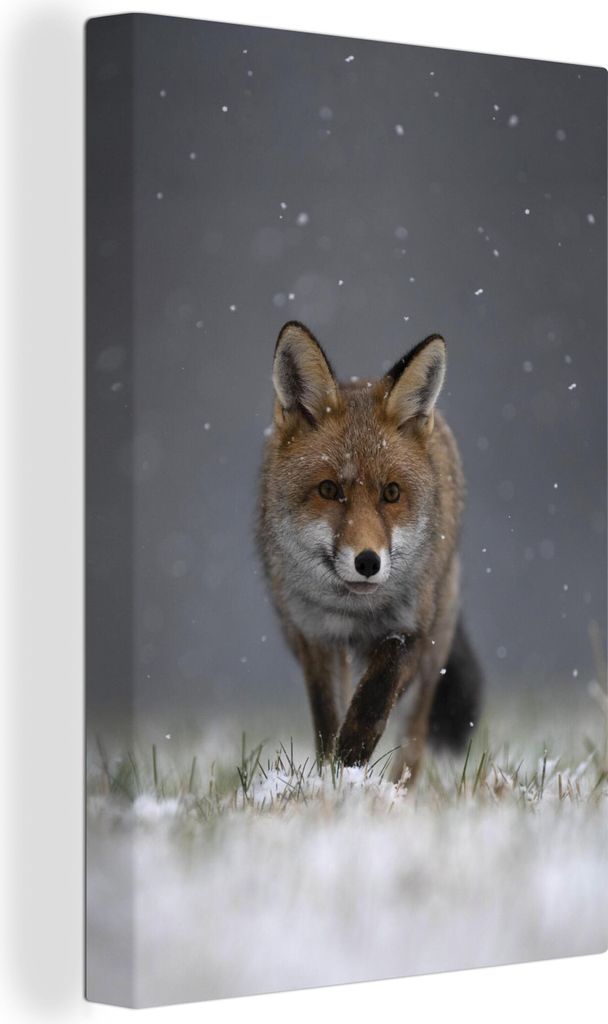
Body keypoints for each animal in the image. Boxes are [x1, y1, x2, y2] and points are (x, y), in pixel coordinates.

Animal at [257, 320, 482, 783]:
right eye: (329, 490)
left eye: (391, 493)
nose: (367, 562)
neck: (354, 613)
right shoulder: (315, 637)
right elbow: (329, 717)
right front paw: (334, 777)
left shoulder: (411, 628)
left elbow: (374, 701)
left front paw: (351, 765)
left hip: (438, 642)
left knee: (415, 735)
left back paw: (401, 787)